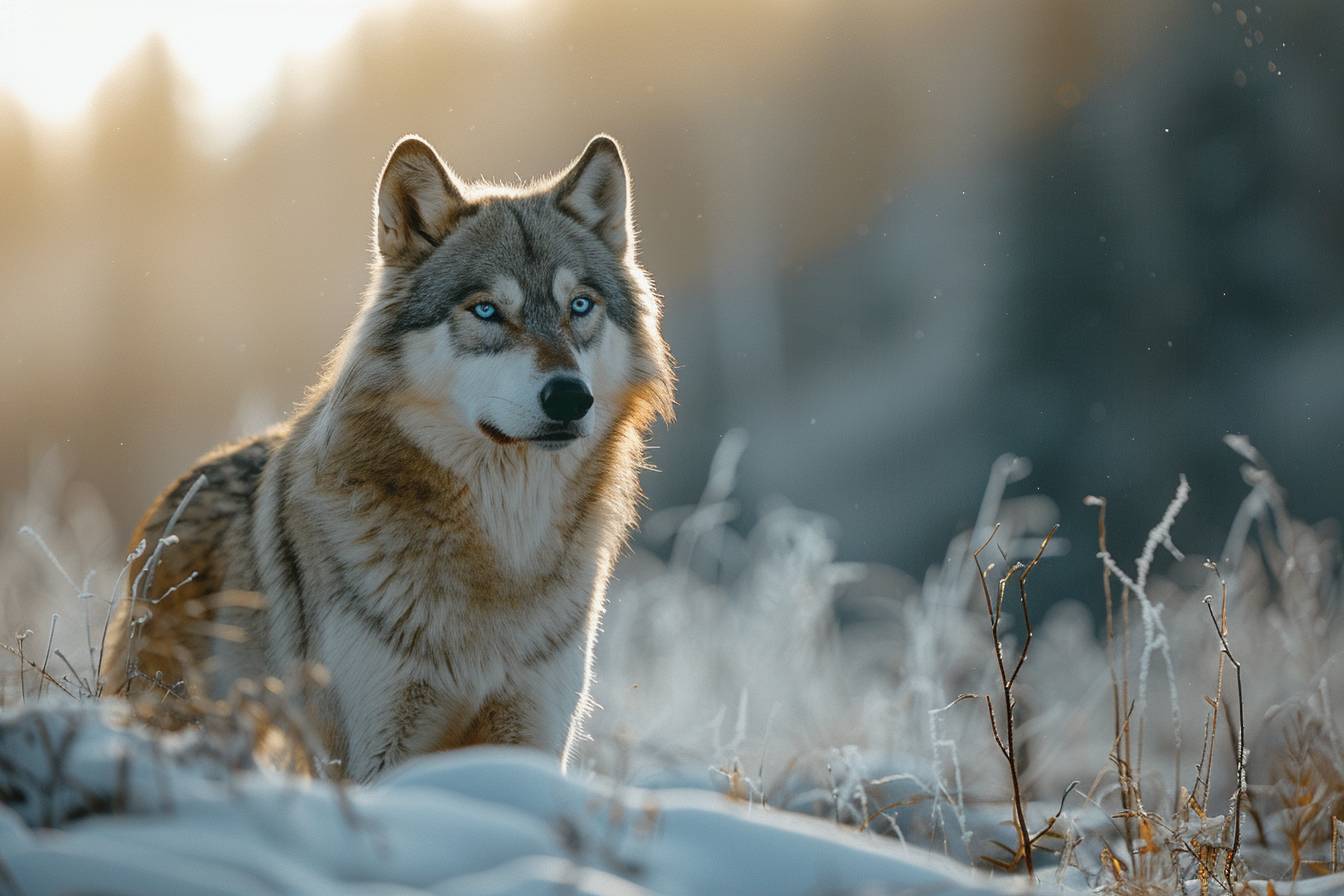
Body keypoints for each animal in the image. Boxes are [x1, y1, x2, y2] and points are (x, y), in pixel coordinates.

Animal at [101, 134, 674, 780]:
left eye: (579, 305)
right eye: (486, 310)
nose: (571, 397)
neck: (502, 548)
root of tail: (173, 499)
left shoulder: (533, 736)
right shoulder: (370, 752)